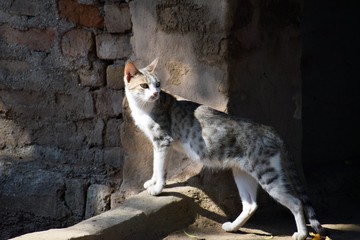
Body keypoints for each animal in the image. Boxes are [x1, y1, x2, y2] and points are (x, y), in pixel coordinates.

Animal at [123, 58, 326, 240]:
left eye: (158, 85)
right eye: (144, 86)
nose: (155, 94)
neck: (143, 107)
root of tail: (271, 129)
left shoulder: (163, 141)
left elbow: (159, 167)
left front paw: (157, 189)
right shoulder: (160, 144)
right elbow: (157, 166)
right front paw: (151, 182)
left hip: (268, 175)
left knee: (296, 202)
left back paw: (301, 234)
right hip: (242, 172)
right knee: (251, 205)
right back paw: (232, 227)